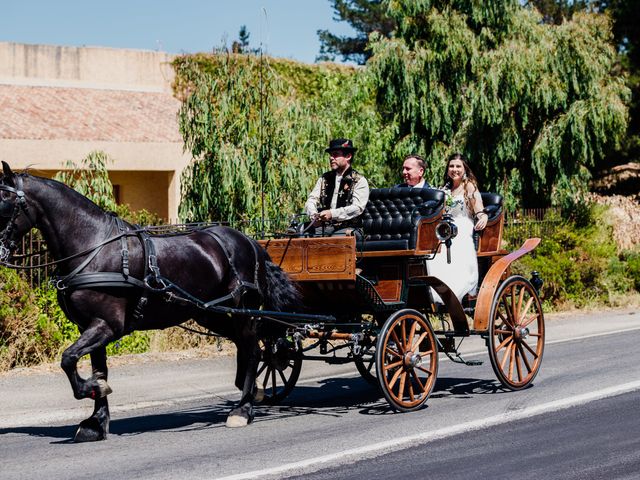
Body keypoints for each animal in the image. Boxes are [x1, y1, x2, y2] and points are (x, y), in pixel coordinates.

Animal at [0, 162, 300, 442]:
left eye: (4, 201)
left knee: (252, 348)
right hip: (208, 313)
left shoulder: (107, 326)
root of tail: (251, 243)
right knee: (245, 345)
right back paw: (250, 390)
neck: (94, 247)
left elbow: (68, 358)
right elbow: (98, 367)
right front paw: (96, 421)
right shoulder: (90, 326)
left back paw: (243, 409)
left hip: (241, 310)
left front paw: (93, 389)